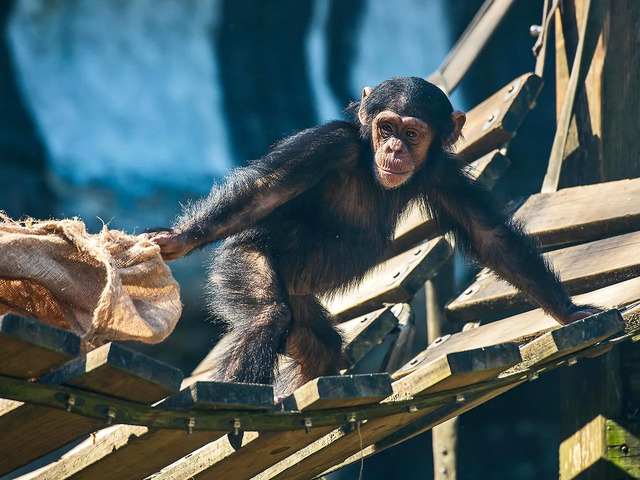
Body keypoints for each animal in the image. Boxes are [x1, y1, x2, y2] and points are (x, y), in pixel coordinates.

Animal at [148, 77, 596, 396]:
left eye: (411, 134)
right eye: (386, 127)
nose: (395, 148)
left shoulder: (444, 174)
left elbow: (491, 238)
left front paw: (569, 312)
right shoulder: (328, 143)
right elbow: (264, 192)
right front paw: (177, 239)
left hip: (303, 308)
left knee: (321, 352)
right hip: (242, 258)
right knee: (265, 315)